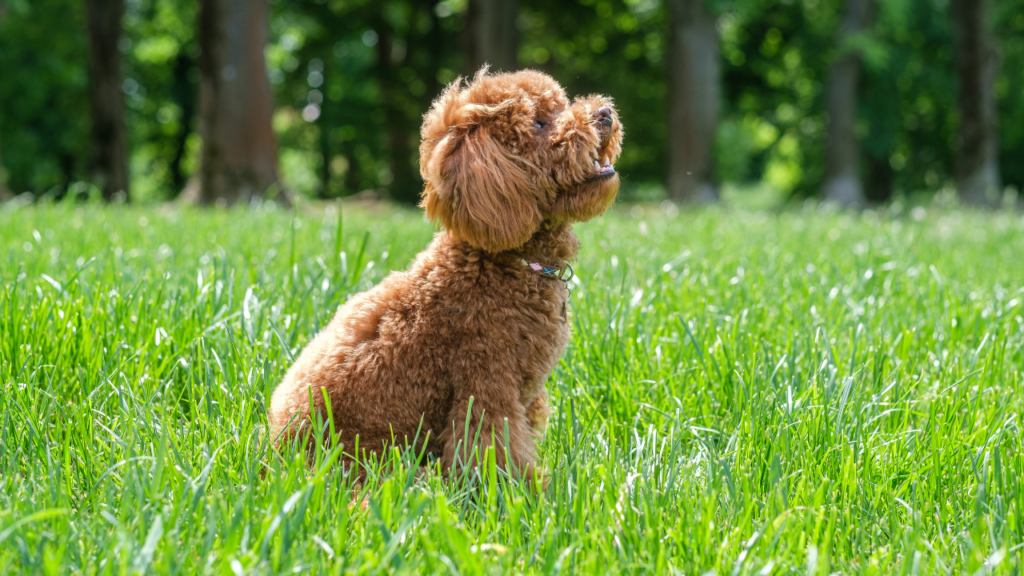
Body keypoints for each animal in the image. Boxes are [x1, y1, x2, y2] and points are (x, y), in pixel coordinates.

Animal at [268, 67, 618, 479]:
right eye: (539, 122)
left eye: (561, 104)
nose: (605, 114)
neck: (502, 262)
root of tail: (275, 457)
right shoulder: (485, 380)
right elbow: (493, 448)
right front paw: (524, 491)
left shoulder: (522, 395)